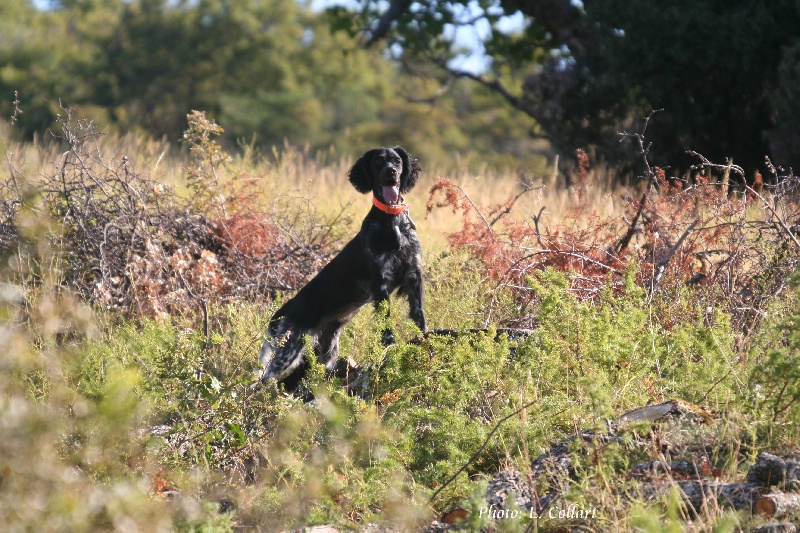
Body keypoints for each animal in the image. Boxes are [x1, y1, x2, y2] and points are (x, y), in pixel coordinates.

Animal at [260, 148, 424, 388]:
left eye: (397, 161)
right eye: (378, 162)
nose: (391, 172)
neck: (393, 222)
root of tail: (283, 310)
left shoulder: (414, 275)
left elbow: (420, 317)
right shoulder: (381, 283)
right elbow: (386, 328)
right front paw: (390, 349)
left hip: (324, 352)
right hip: (288, 350)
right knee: (264, 379)